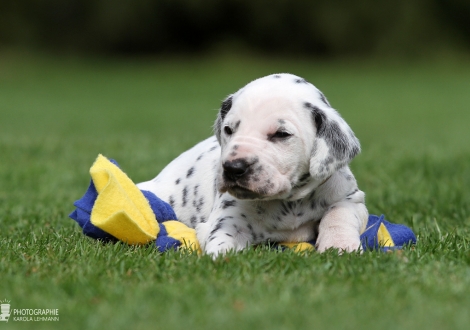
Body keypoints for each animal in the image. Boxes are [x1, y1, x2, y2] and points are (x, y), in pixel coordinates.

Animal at [138, 73, 370, 256]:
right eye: (228, 129)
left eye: (281, 134)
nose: (233, 168)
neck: (290, 202)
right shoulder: (230, 216)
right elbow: (221, 235)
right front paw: (223, 255)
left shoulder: (350, 198)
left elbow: (340, 213)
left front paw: (339, 244)